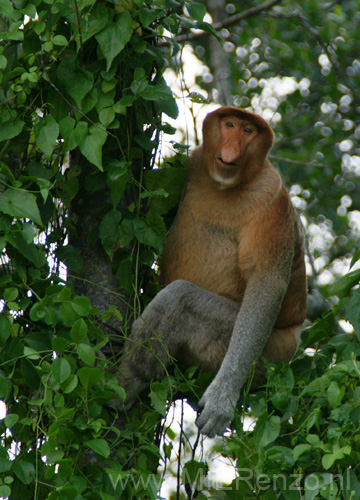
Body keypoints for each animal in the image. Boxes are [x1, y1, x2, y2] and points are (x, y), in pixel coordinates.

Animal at [118, 106, 306, 438]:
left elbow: (265, 287)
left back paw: (121, 387)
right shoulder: (194, 163)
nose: (231, 149)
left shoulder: (271, 200)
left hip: (268, 352)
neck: (225, 186)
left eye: (248, 131)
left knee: (180, 300)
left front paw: (221, 400)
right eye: (229, 124)